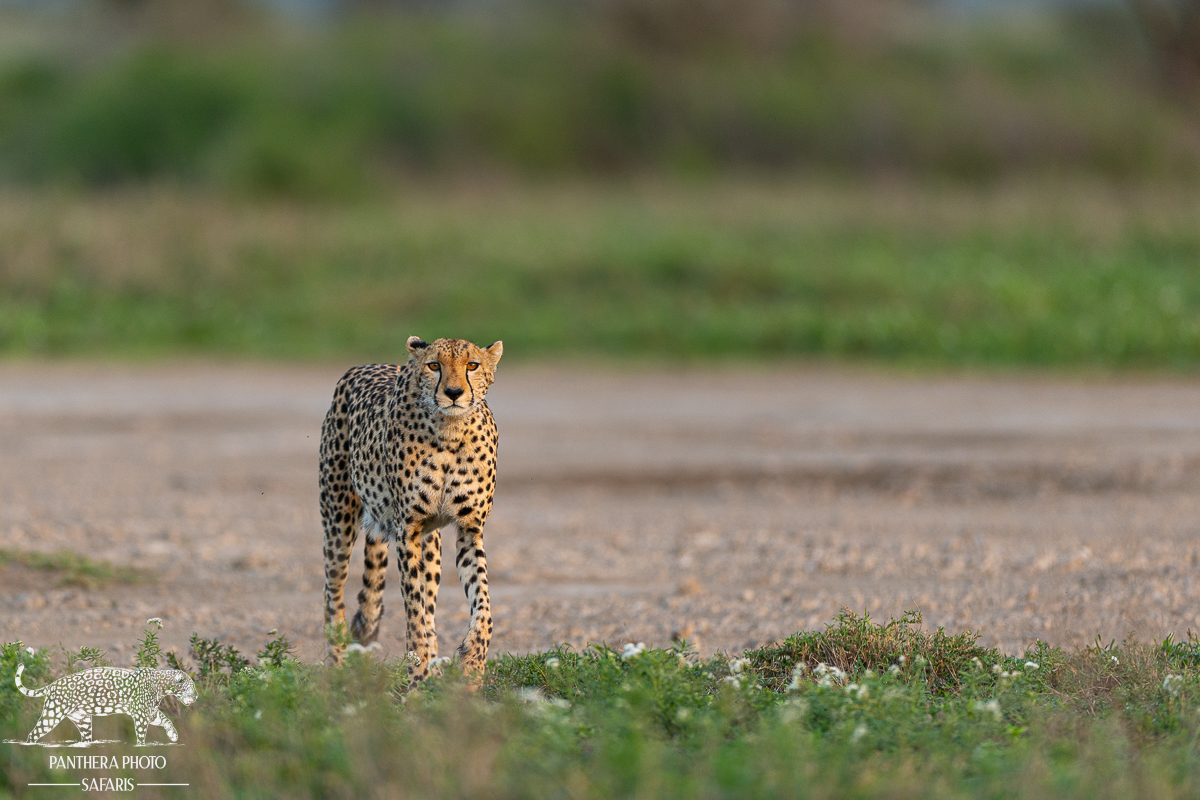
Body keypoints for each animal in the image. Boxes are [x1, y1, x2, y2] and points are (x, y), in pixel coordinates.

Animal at [15, 662, 197, 745]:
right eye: (192, 687)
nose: (196, 696)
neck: (161, 685)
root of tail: (52, 685)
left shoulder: (149, 712)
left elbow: (165, 719)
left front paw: (173, 735)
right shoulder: (141, 715)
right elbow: (141, 734)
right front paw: (141, 746)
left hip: (82, 720)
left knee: (85, 737)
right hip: (52, 714)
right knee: (34, 733)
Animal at [320, 336, 503, 683]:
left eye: (472, 365)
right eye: (434, 365)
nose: (454, 393)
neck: (450, 431)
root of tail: (367, 365)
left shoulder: (469, 528)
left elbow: (483, 602)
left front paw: (472, 664)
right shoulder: (407, 529)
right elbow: (413, 609)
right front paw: (416, 673)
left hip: (430, 543)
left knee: (428, 597)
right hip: (338, 522)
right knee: (332, 594)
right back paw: (335, 666)